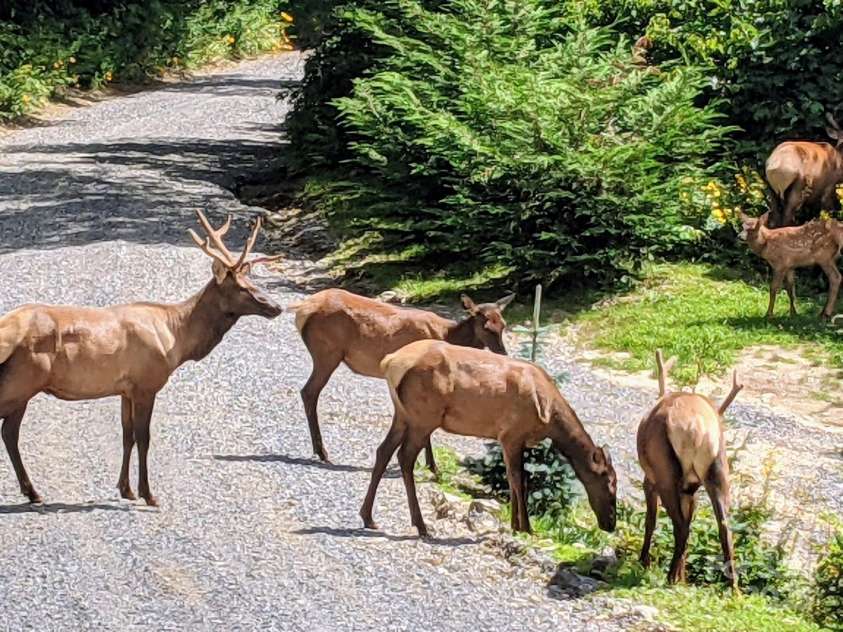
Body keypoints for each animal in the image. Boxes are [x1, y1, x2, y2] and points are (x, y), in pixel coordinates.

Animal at [0, 210, 281, 506]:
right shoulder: (147, 383)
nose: (276, 307)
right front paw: (149, 494)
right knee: (9, 431)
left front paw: (126, 489)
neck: (176, 339)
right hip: (22, 380)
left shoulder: (126, 389)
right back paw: (33, 491)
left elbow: (127, 436)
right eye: (241, 287)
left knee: (9, 432)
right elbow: (144, 437)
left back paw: (33, 492)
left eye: (253, 282)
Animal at [289, 289, 514, 471]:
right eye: (486, 327)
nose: (503, 353)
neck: (449, 336)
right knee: (309, 391)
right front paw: (432, 466)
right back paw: (322, 452)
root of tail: (302, 309)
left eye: (503, 325)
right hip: (327, 352)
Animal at [360, 339, 617, 537]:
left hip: (403, 414)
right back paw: (421, 525)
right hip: (423, 417)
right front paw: (526, 528)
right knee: (404, 457)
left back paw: (368, 517)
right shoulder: (512, 433)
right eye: (609, 483)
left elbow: (512, 479)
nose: (610, 524)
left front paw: (514, 525)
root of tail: (389, 362)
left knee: (383, 451)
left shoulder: (509, 438)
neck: (550, 416)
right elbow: (519, 480)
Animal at [637, 350, 742, 588]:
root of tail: (697, 427)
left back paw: (667, 577)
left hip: (665, 472)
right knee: (724, 527)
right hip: (718, 470)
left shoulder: (649, 480)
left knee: (680, 526)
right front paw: (682, 577)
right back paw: (734, 589)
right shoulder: (690, 488)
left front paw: (645, 562)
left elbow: (651, 520)